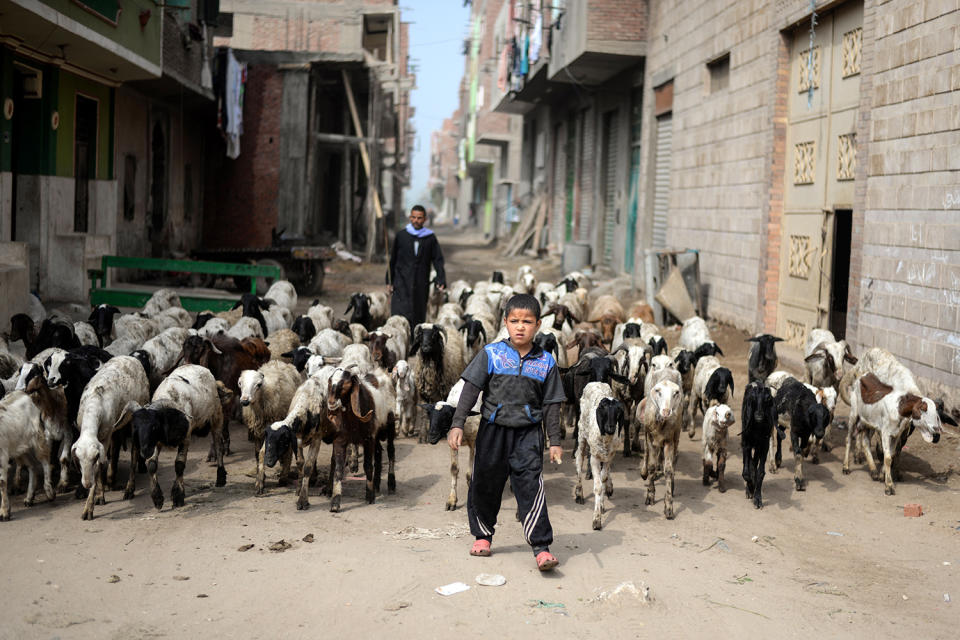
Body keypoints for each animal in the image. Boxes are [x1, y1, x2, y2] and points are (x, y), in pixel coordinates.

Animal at [238, 360, 302, 496]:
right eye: (240, 383)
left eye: (259, 384)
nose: (245, 401)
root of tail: (279, 361)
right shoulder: (257, 432)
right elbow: (257, 454)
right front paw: (260, 476)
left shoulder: (271, 431)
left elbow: (263, 453)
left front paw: (259, 484)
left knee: (288, 448)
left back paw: (284, 475)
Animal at [572, 382, 628, 532]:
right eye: (603, 410)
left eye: (618, 411)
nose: (610, 428)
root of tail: (597, 382)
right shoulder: (595, 459)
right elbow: (597, 486)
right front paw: (596, 520)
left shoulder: (609, 457)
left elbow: (603, 478)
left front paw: (602, 503)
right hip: (581, 436)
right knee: (579, 460)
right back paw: (579, 494)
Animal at [744, 380, 780, 510]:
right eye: (753, 399)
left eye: (767, 399)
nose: (759, 416)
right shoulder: (746, 443)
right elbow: (746, 472)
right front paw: (750, 488)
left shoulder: (763, 445)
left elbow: (760, 472)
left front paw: (757, 498)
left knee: (754, 463)